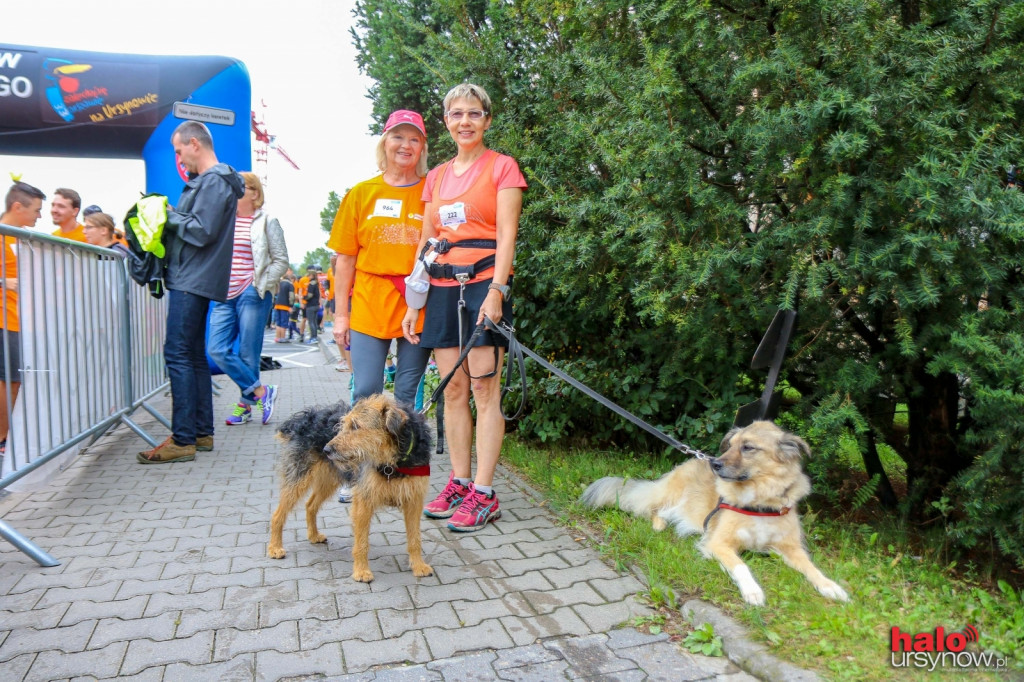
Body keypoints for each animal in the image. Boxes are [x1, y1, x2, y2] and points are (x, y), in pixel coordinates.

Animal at [268, 393, 432, 577]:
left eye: (356, 426)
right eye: (344, 424)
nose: (326, 449)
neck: (393, 463)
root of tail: (301, 419)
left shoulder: (414, 501)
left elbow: (415, 538)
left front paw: (418, 565)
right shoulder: (363, 500)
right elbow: (361, 542)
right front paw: (361, 571)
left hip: (327, 480)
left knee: (310, 505)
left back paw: (314, 535)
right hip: (298, 479)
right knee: (277, 515)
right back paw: (275, 548)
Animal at [585, 419, 847, 606]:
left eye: (748, 447)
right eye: (730, 445)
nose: (715, 464)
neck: (759, 503)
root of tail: (694, 459)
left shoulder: (790, 548)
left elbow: (811, 568)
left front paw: (830, 586)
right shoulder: (719, 543)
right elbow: (742, 566)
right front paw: (753, 591)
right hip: (670, 497)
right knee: (648, 507)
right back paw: (658, 524)